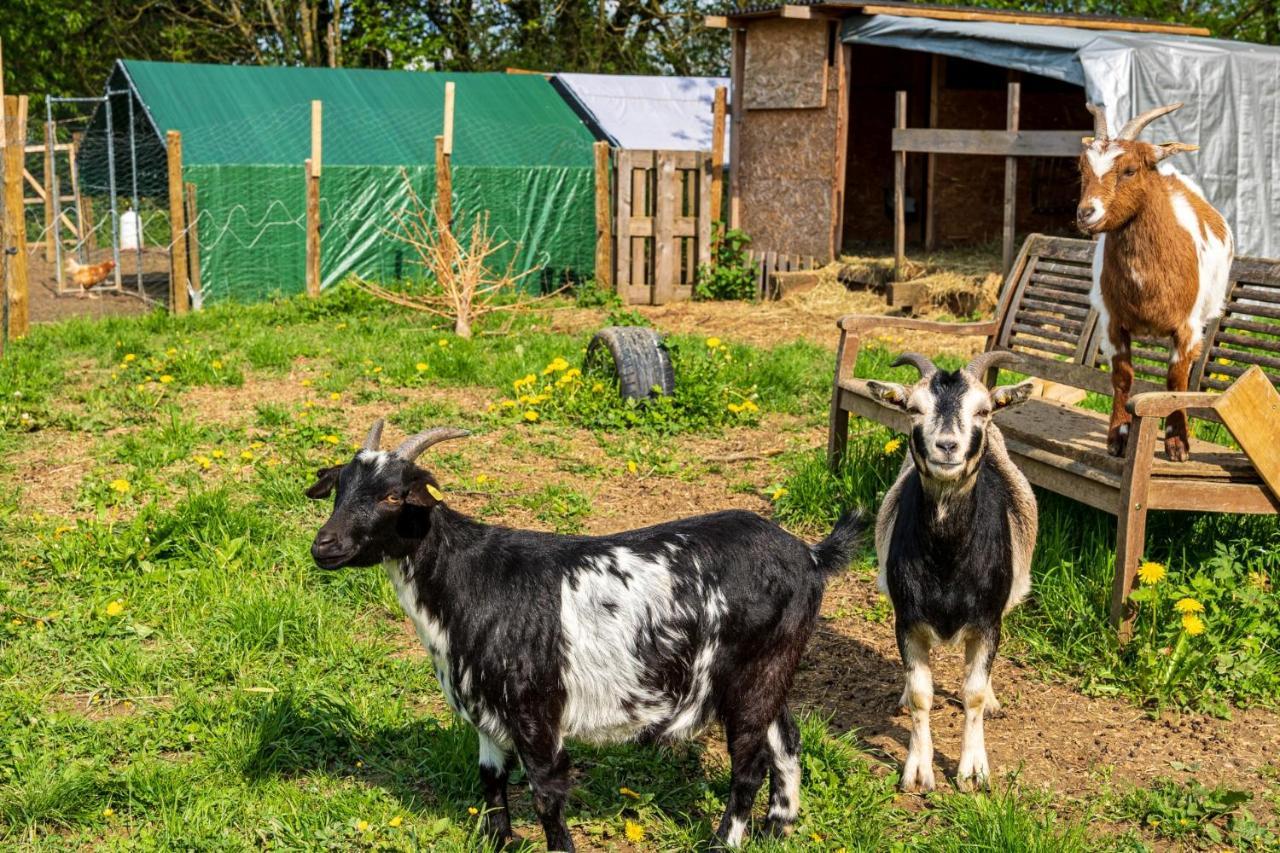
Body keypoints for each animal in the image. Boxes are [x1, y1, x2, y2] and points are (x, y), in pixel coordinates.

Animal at [302, 420, 860, 850]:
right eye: (338, 489)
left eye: (394, 494)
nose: (324, 546)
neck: (471, 579)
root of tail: (810, 556)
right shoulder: (486, 714)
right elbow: (491, 782)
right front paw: (500, 842)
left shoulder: (536, 711)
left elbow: (547, 796)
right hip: (770, 670)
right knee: (785, 737)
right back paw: (778, 826)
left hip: (756, 670)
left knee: (748, 765)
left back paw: (725, 841)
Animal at [865, 350, 1034, 788]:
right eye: (912, 408)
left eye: (983, 410)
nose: (947, 446)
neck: (948, 559)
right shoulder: (907, 620)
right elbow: (921, 694)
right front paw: (918, 771)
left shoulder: (988, 621)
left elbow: (972, 691)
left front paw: (973, 770)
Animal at [1075, 103, 1233, 461]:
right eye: (1082, 168)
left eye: (1130, 170)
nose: (1086, 214)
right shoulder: (1112, 321)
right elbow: (1122, 377)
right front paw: (1118, 436)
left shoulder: (1187, 327)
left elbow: (1176, 382)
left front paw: (1177, 444)